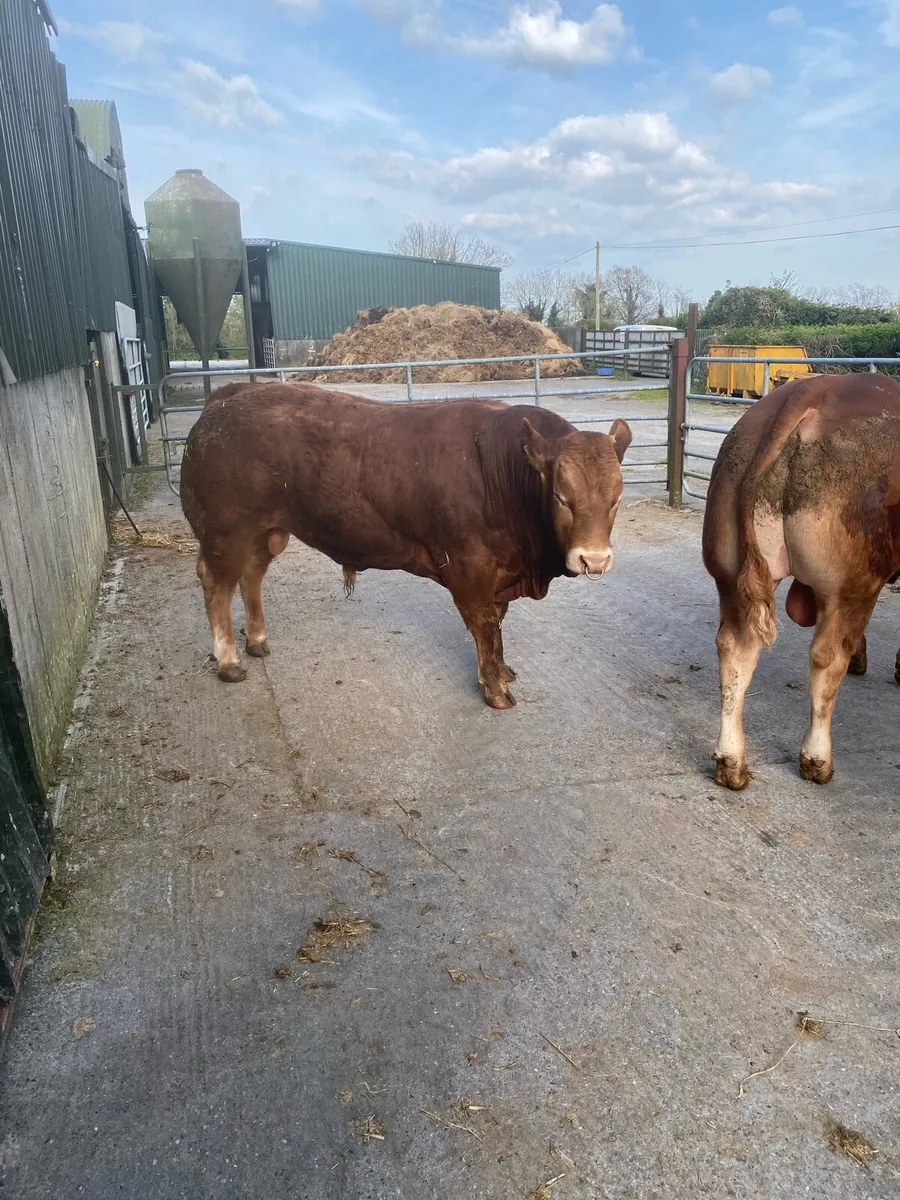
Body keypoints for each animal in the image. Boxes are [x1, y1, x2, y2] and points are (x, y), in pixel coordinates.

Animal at [180, 382, 632, 708]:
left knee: (251, 576)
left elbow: (497, 625)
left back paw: (256, 640)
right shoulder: (469, 568)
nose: (594, 559)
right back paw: (229, 660)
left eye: (616, 497)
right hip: (224, 534)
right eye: (561, 496)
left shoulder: (498, 574)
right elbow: (485, 625)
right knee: (217, 584)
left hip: (266, 532)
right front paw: (495, 689)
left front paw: (501, 672)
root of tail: (228, 397)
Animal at [702, 371, 900, 790]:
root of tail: (807, 393)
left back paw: (731, 763)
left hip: (729, 574)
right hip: (849, 586)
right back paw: (817, 759)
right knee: (826, 658)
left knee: (734, 648)